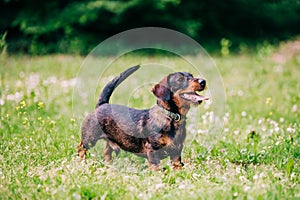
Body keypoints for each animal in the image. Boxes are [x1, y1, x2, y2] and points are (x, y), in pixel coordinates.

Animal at [78, 66, 209, 170]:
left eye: (191, 75)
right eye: (180, 79)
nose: (203, 81)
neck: (170, 117)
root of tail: (102, 104)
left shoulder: (176, 152)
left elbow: (177, 167)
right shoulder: (152, 150)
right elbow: (157, 168)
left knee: (106, 151)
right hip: (90, 138)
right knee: (81, 148)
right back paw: (81, 163)